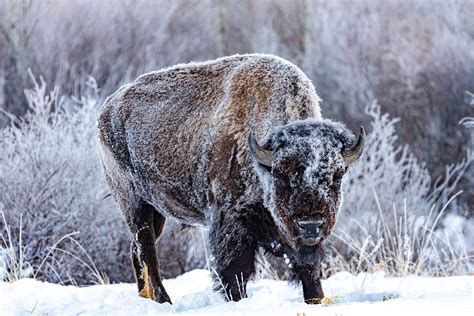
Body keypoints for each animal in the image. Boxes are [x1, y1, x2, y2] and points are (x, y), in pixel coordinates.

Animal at [95, 53, 362, 304]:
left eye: (337, 175)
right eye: (280, 173)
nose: (310, 225)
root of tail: (106, 109)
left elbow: (309, 269)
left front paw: (315, 299)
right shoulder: (231, 222)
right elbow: (235, 271)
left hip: (156, 211)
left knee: (136, 251)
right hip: (134, 204)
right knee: (147, 252)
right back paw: (164, 300)